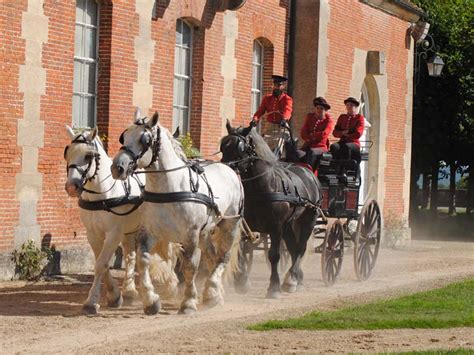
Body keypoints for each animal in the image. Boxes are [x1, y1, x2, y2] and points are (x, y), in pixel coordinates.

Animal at [64, 126, 179, 316]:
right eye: (67, 153)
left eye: (88, 156)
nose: (71, 186)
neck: (102, 195)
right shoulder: (93, 234)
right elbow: (101, 264)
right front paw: (114, 295)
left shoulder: (113, 233)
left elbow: (101, 264)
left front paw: (91, 302)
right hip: (130, 230)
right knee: (130, 257)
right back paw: (130, 291)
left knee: (170, 253)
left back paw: (171, 285)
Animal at [111, 112, 244, 318]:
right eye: (123, 137)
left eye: (145, 140)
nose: (118, 167)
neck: (170, 188)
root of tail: (229, 168)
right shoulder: (150, 232)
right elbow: (143, 261)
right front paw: (151, 300)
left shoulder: (190, 236)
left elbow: (189, 267)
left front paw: (188, 302)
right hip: (205, 232)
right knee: (211, 257)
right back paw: (213, 293)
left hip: (230, 225)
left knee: (223, 257)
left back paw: (213, 292)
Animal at [221, 121, 324, 298]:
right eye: (223, 146)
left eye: (239, 148)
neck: (261, 187)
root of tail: (308, 171)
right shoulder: (246, 226)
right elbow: (243, 251)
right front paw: (242, 281)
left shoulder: (275, 227)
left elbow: (274, 255)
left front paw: (274, 287)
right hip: (288, 225)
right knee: (293, 249)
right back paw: (296, 279)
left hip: (308, 219)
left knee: (300, 248)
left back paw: (291, 279)